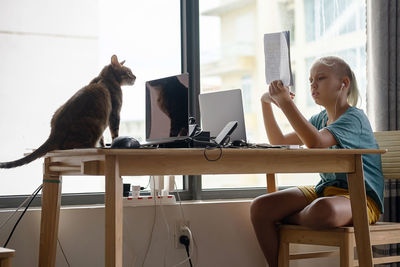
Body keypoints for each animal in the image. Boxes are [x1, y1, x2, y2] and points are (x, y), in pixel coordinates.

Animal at [0, 54, 136, 170]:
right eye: (129, 72)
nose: (135, 77)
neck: (104, 77)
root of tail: (54, 132)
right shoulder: (114, 114)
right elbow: (115, 133)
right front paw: (113, 145)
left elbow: (103, 139)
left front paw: (103, 145)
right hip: (95, 126)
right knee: (70, 147)